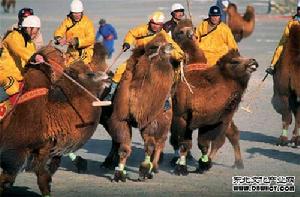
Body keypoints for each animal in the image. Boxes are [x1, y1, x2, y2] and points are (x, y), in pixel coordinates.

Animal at [0, 43, 110, 196]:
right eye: (90, 74)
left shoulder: (43, 148)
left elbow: (44, 177)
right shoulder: (15, 150)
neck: (50, 112)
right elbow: (6, 180)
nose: (109, 76)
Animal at [106, 32, 175, 182]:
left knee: (160, 143)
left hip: (165, 122)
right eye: (154, 46)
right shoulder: (121, 119)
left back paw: (154, 168)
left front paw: (144, 170)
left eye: (168, 40)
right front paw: (119, 174)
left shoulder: (151, 121)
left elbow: (150, 146)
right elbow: (124, 148)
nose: (170, 45)